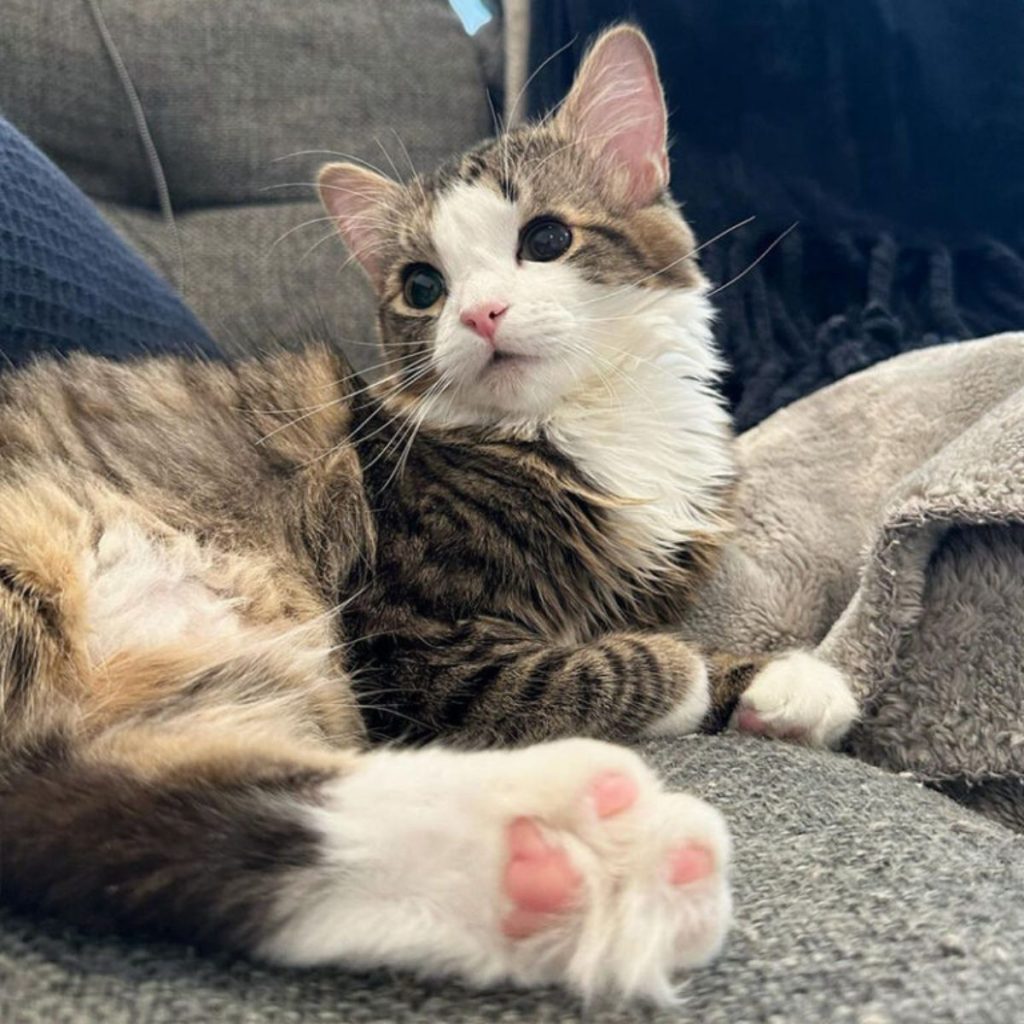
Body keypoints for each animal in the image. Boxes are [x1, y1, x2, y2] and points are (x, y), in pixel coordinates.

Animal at [0, 22, 856, 999]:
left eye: (546, 239)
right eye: (423, 287)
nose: (482, 314)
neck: (579, 430)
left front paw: (783, 681)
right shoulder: (403, 639)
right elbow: (596, 666)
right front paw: (697, 676)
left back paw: (561, 864)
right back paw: (580, 842)